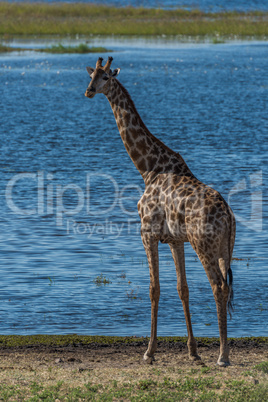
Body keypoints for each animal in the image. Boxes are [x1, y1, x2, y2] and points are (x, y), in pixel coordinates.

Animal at [85, 57, 236, 368]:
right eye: (91, 75)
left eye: (106, 77)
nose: (89, 91)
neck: (147, 167)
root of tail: (228, 216)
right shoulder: (176, 241)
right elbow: (182, 289)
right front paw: (193, 351)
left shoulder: (147, 232)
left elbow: (154, 288)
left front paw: (149, 351)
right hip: (225, 250)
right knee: (225, 289)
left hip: (204, 246)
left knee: (218, 287)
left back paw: (223, 356)